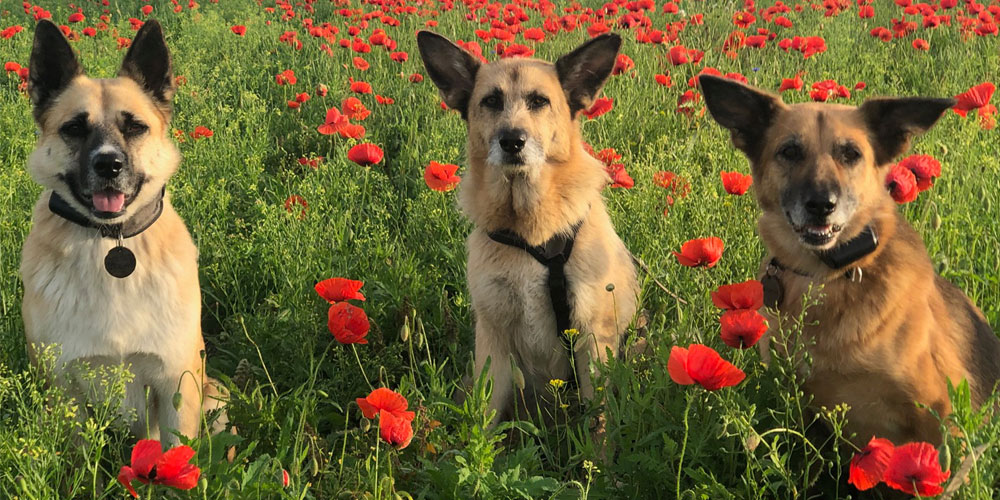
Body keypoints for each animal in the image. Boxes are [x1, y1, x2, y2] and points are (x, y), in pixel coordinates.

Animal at [22, 20, 229, 450]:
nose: (109, 165)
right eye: (74, 129)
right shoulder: (65, 392)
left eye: (135, 127)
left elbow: (176, 454)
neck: (110, 241)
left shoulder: (176, 386)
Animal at [416, 31, 640, 422]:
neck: (532, 233)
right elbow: (486, 417)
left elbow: (597, 422)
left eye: (539, 101)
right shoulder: (492, 342)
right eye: (491, 101)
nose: (512, 141)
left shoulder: (592, 341)